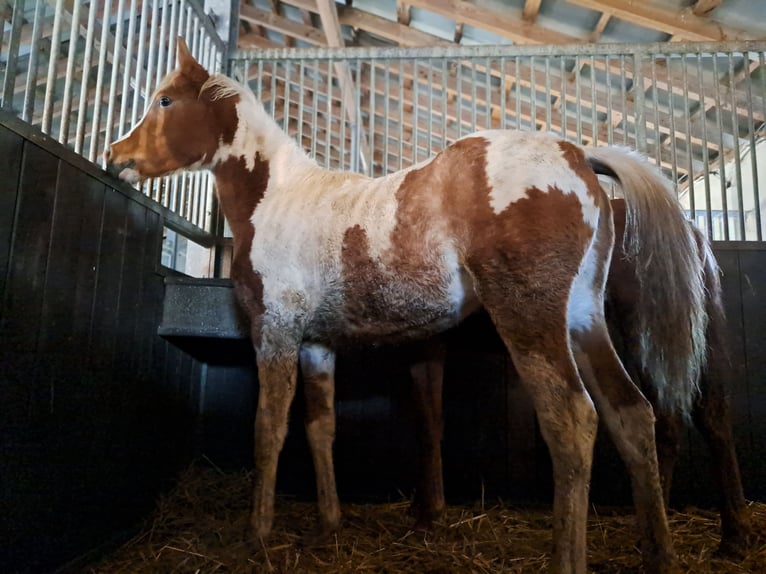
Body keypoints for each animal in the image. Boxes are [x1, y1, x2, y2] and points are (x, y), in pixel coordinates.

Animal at [103, 38, 696, 572]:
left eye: (165, 101)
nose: (115, 155)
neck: (275, 200)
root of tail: (575, 155)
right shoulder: (317, 344)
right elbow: (320, 428)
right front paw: (328, 524)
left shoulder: (277, 330)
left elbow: (268, 428)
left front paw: (256, 535)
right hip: (582, 319)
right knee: (630, 414)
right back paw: (660, 553)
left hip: (531, 320)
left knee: (572, 420)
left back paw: (566, 559)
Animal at [408, 198, 756, 560]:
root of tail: (687, 228)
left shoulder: (426, 342)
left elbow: (427, 422)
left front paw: (427, 516)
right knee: (712, 417)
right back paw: (733, 536)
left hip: (645, 332)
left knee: (668, 419)